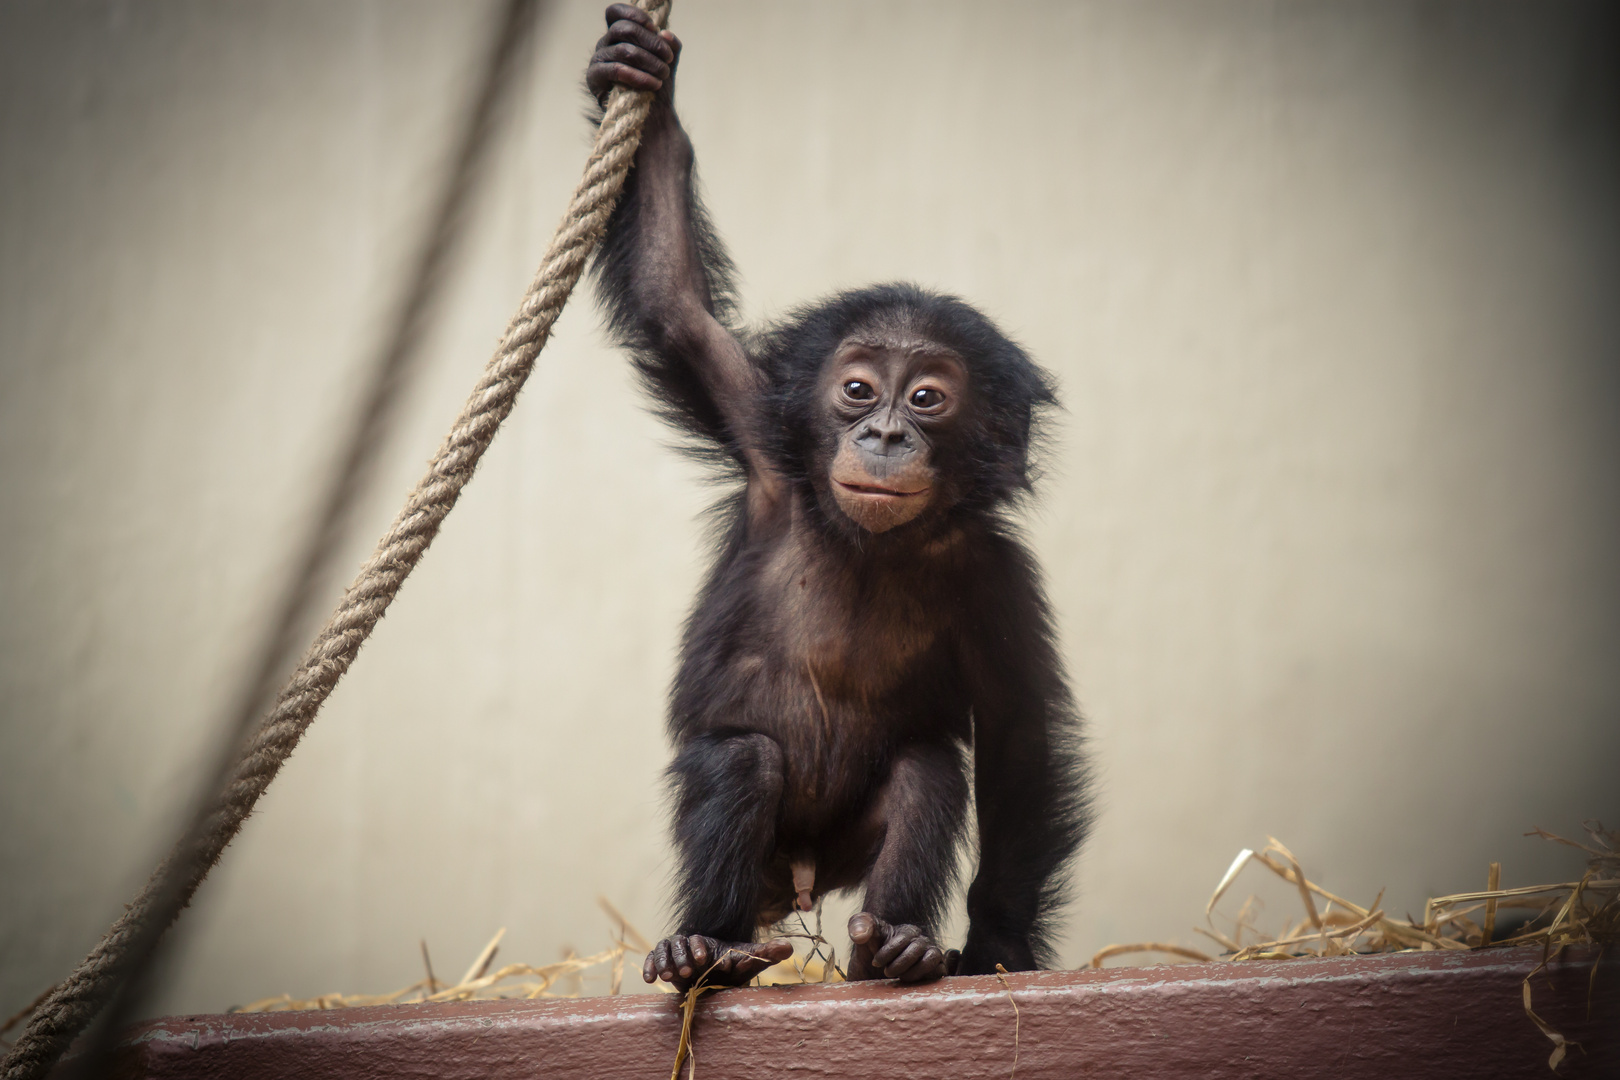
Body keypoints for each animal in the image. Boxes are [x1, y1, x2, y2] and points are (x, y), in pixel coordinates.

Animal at [586, 6, 1088, 990]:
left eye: (927, 398)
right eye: (857, 389)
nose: (885, 434)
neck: (871, 540)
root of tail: (804, 879)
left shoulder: (998, 572)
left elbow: (1017, 732)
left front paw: (998, 943)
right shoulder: (760, 436)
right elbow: (675, 300)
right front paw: (642, 77)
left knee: (929, 770)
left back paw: (892, 948)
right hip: (764, 860)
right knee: (741, 761)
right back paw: (707, 948)